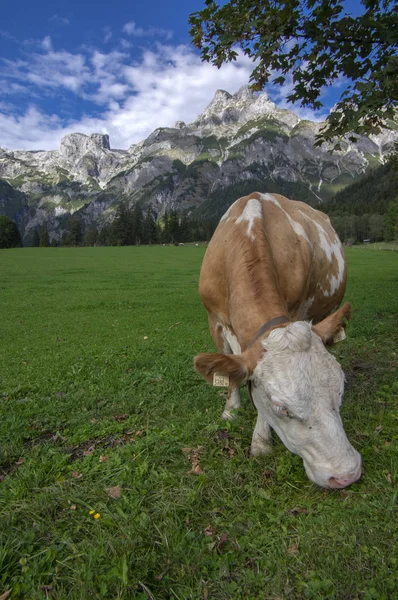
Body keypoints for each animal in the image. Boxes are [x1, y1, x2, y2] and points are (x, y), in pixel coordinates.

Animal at [194, 195, 362, 490]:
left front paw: (260, 442)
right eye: (281, 408)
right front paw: (231, 410)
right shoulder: (214, 319)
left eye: (340, 390)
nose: (347, 475)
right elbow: (228, 368)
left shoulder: (297, 310)